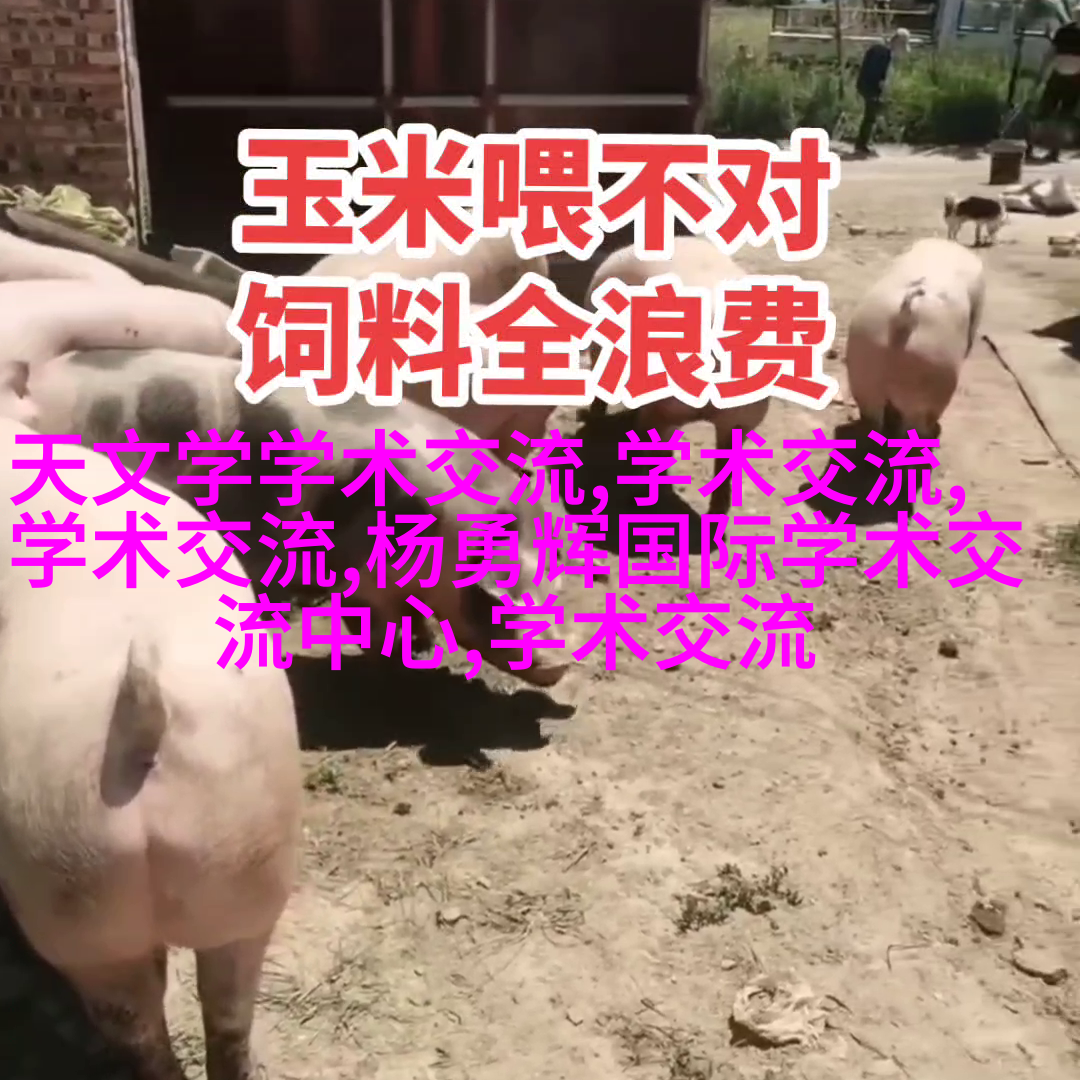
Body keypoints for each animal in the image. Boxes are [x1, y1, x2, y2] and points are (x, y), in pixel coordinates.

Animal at [18, 346, 571, 689]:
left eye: (556, 582)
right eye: (492, 601)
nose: (562, 664)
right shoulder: (361, 565)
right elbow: (377, 617)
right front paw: (400, 662)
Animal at [844, 237, 985, 441]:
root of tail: (906, 311)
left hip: (864, 358)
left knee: (874, 419)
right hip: (934, 365)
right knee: (915, 425)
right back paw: (928, 434)